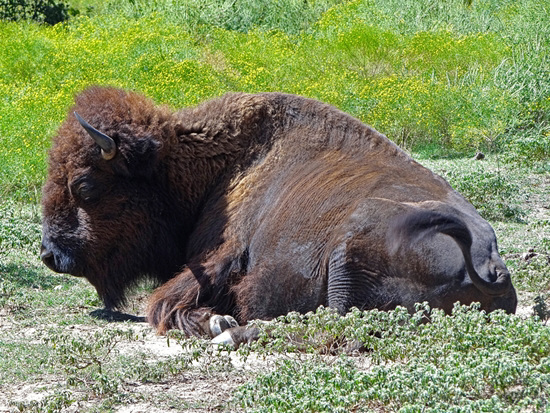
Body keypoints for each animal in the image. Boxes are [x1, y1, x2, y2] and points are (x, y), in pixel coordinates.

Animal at [42, 86, 516, 344]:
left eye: (84, 185)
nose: (50, 254)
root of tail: (491, 265)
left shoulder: (217, 258)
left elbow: (161, 301)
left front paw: (215, 320)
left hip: (346, 254)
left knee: (325, 320)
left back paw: (229, 332)